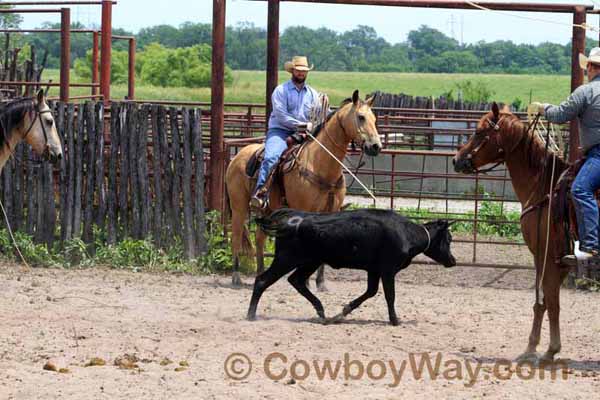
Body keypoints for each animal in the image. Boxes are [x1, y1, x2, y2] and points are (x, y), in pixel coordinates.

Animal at [225, 90, 384, 288]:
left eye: (374, 118)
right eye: (361, 117)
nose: (376, 146)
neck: (320, 164)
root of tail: (237, 155)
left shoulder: (330, 211)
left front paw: (320, 282)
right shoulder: (304, 210)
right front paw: (306, 280)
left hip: (267, 209)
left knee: (260, 237)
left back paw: (260, 273)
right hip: (238, 206)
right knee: (236, 237)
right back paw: (236, 277)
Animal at [246, 208, 458, 326]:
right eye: (449, 239)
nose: (453, 261)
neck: (407, 233)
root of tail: (294, 218)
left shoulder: (374, 270)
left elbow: (370, 292)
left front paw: (343, 311)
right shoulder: (388, 270)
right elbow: (390, 296)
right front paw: (395, 320)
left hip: (310, 261)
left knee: (296, 280)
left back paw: (322, 312)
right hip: (286, 259)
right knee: (262, 280)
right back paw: (251, 315)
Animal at [452, 101, 568, 360]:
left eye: (479, 132)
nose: (456, 160)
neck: (542, 187)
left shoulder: (544, 255)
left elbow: (551, 301)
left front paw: (548, 349)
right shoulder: (559, 260)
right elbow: (543, 301)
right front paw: (533, 347)